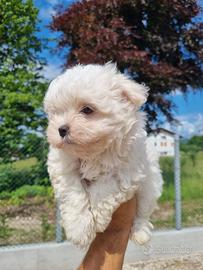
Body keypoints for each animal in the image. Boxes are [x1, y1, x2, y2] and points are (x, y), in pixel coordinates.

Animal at [43, 62, 163, 248]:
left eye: (87, 109)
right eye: (56, 113)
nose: (61, 129)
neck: (94, 152)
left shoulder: (127, 170)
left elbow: (105, 189)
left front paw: (98, 220)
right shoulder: (63, 167)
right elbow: (74, 194)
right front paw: (79, 230)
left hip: (151, 185)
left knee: (143, 211)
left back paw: (140, 232)